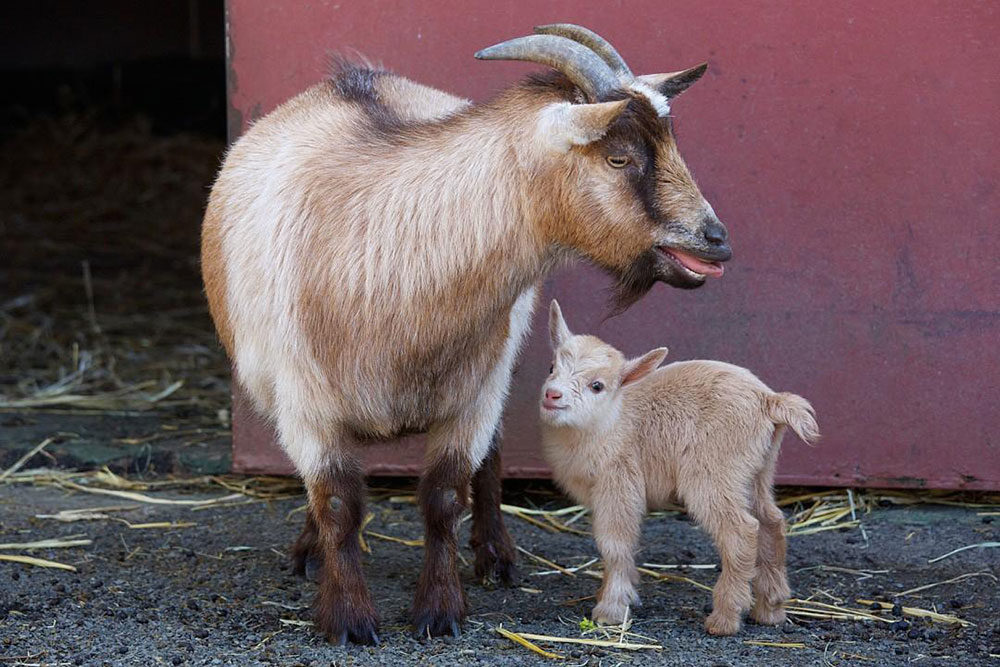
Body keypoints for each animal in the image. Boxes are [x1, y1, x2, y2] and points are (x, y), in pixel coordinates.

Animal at [544, 302, 816, 636]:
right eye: (551, 367)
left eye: (597, 386)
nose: (552, 394)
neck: (611, 419)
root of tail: (770, 401)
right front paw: (621, 595)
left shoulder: (618, 483)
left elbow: (614, 544)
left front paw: (610, 609)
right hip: (757, 471)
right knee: (771, 522)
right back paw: (770, 609)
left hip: (712, 473)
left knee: (741, 530)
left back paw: (725, 618)